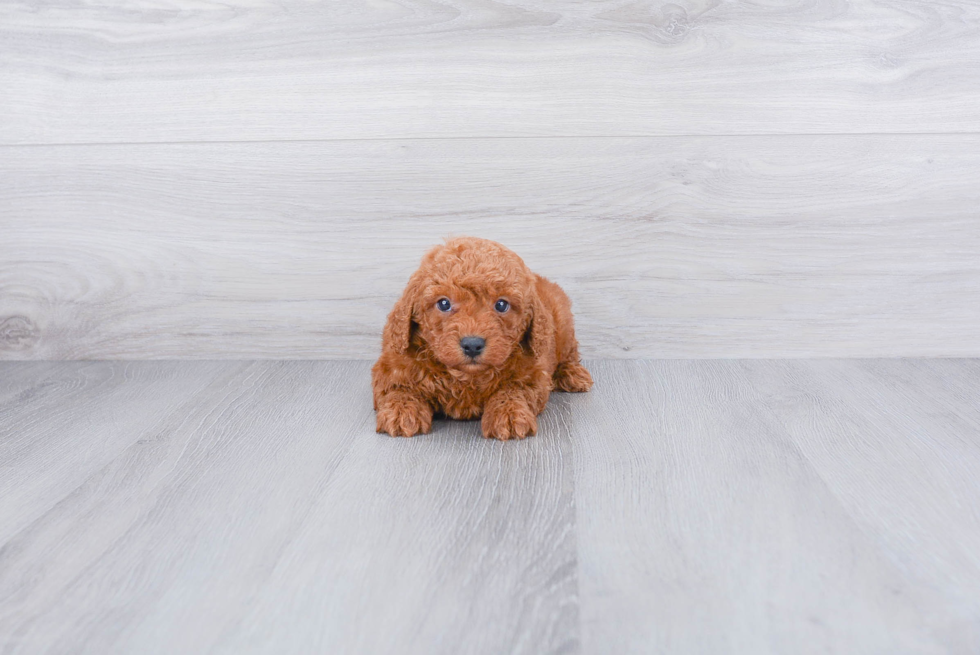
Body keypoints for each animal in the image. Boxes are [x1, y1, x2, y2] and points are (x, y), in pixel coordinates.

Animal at [374, 237, 588, 440]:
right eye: (444, 303)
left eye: (501, 305)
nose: (472, 345)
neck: (465, 377)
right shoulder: (391, 367)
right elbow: (398, 388)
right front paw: (401, 411)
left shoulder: (533, 376)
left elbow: (513, 389)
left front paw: (508, 414)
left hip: (563, 323)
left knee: (569, 352)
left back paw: (573, 374)